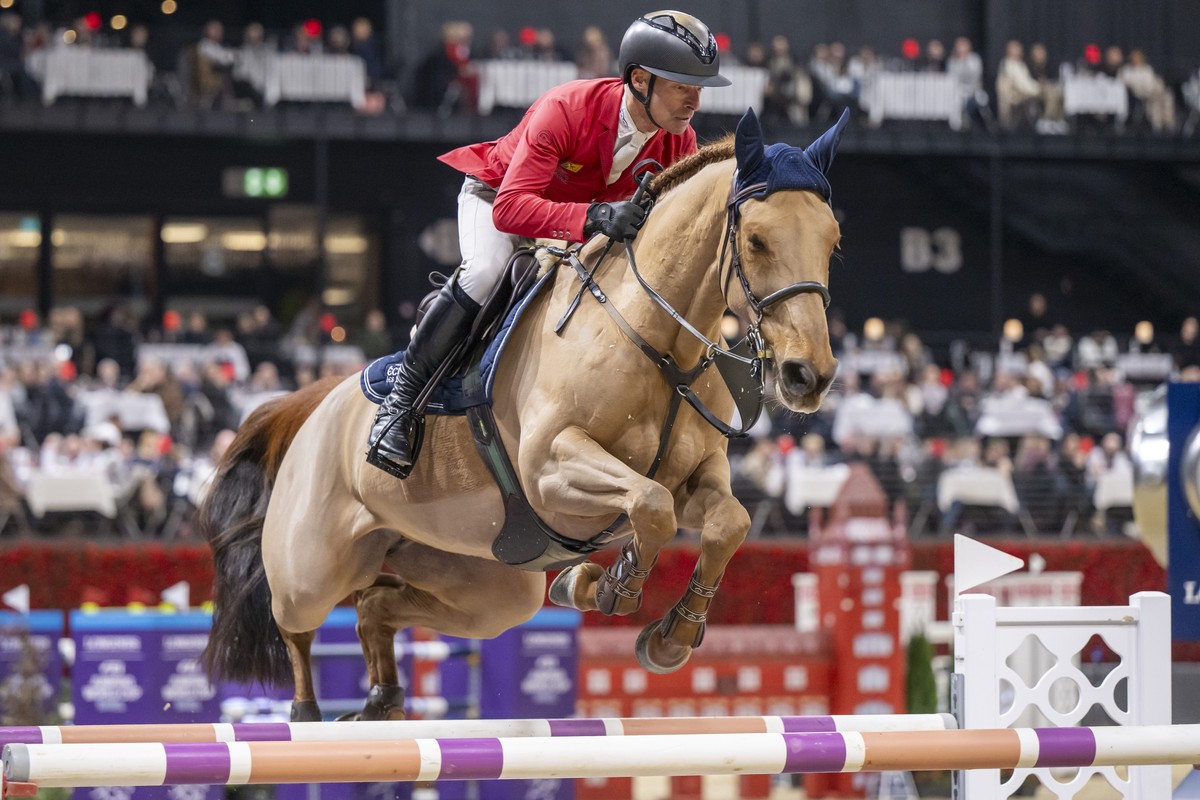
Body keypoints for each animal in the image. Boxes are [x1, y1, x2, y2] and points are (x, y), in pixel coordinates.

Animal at [199, 107, 846, 721]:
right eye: (756, 240)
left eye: (833, 241)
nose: (807, 376)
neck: (658, 342)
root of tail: (316, 402)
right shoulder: (551, 467)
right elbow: (649, 504)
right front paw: (611, 583)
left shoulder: (698, 475)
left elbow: (726, 522)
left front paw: (664, 632)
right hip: (314, 566)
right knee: (296, 623)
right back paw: (304, 714)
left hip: (484, 585)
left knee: (377, 604)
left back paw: (383, 702)